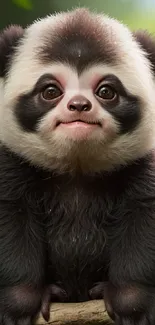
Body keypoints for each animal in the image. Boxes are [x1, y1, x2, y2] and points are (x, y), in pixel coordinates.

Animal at [0, 6, 155, 324]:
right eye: (50, 91)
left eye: (106, 91)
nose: (80, 106)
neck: (77, 166)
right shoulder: (15, 165)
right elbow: (12, 223)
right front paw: (19, 304)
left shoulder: (141, 167)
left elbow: (142, 223)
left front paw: (131, 304)